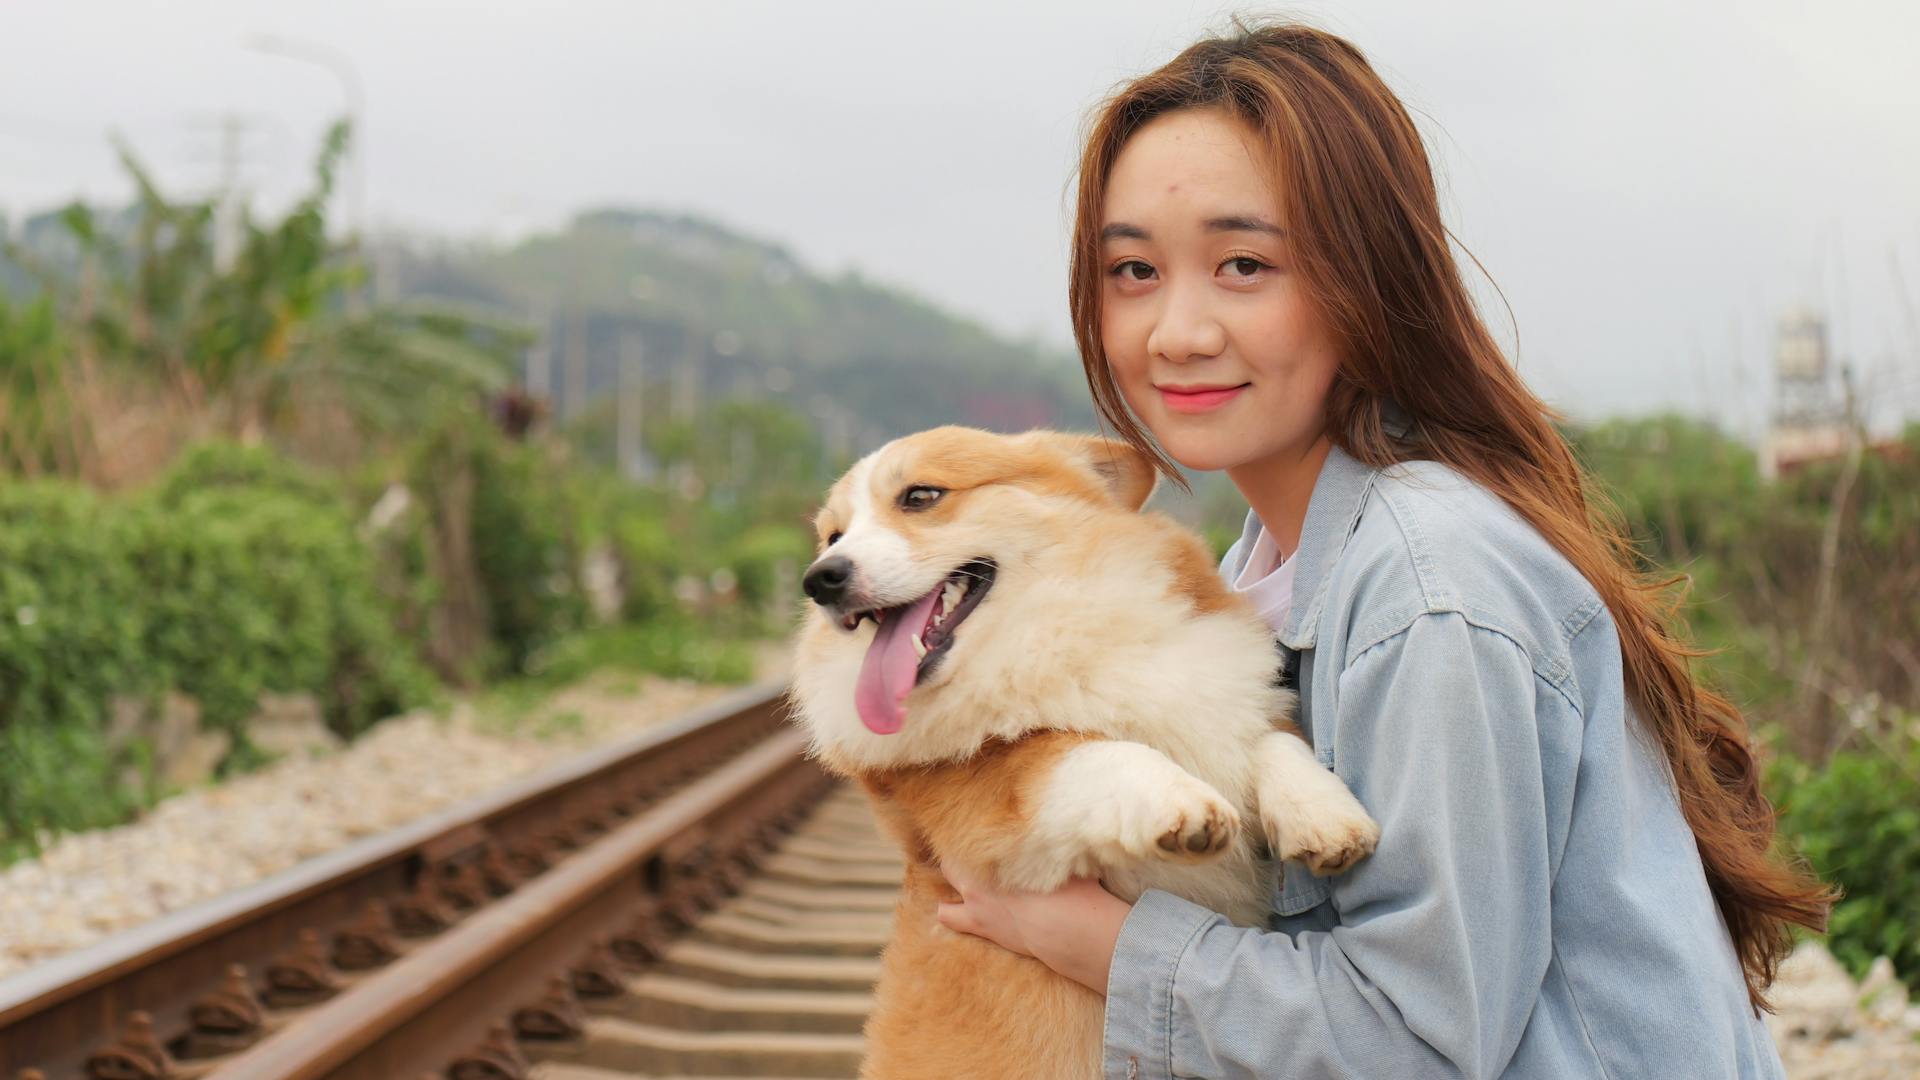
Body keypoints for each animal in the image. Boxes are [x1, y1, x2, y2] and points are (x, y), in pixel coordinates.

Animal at [783, 424, 1382, 1068]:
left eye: (920, 496)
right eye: (833, 537)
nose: (820, 580)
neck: (1050, 634)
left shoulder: (1226, 691)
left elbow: (1270, 740)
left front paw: (1326, 816)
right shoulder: (985, 803)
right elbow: (1079, 748)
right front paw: (1180, 803)